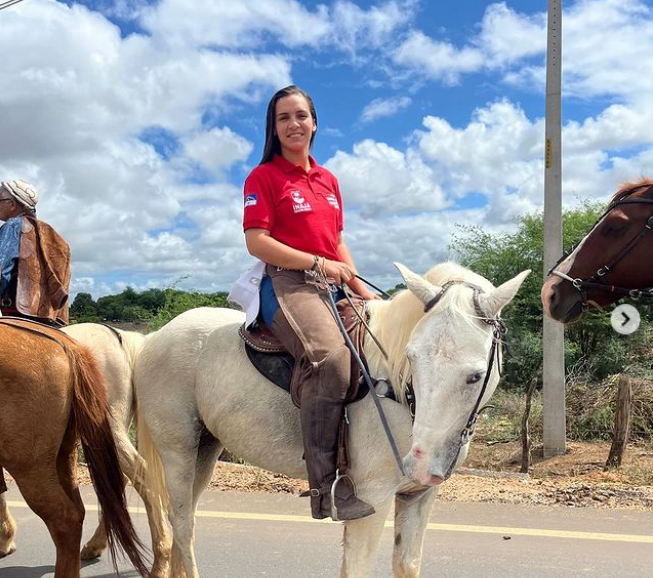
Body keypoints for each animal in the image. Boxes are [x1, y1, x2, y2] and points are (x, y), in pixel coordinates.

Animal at [135, 262, 528, 576]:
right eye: (412, 358)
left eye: (475, 376)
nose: (418, 463)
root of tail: (154, 337)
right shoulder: (373, 497)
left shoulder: (419, 495)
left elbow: (407, 564)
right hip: (178, 451)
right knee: (182, 525)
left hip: (206, 449)